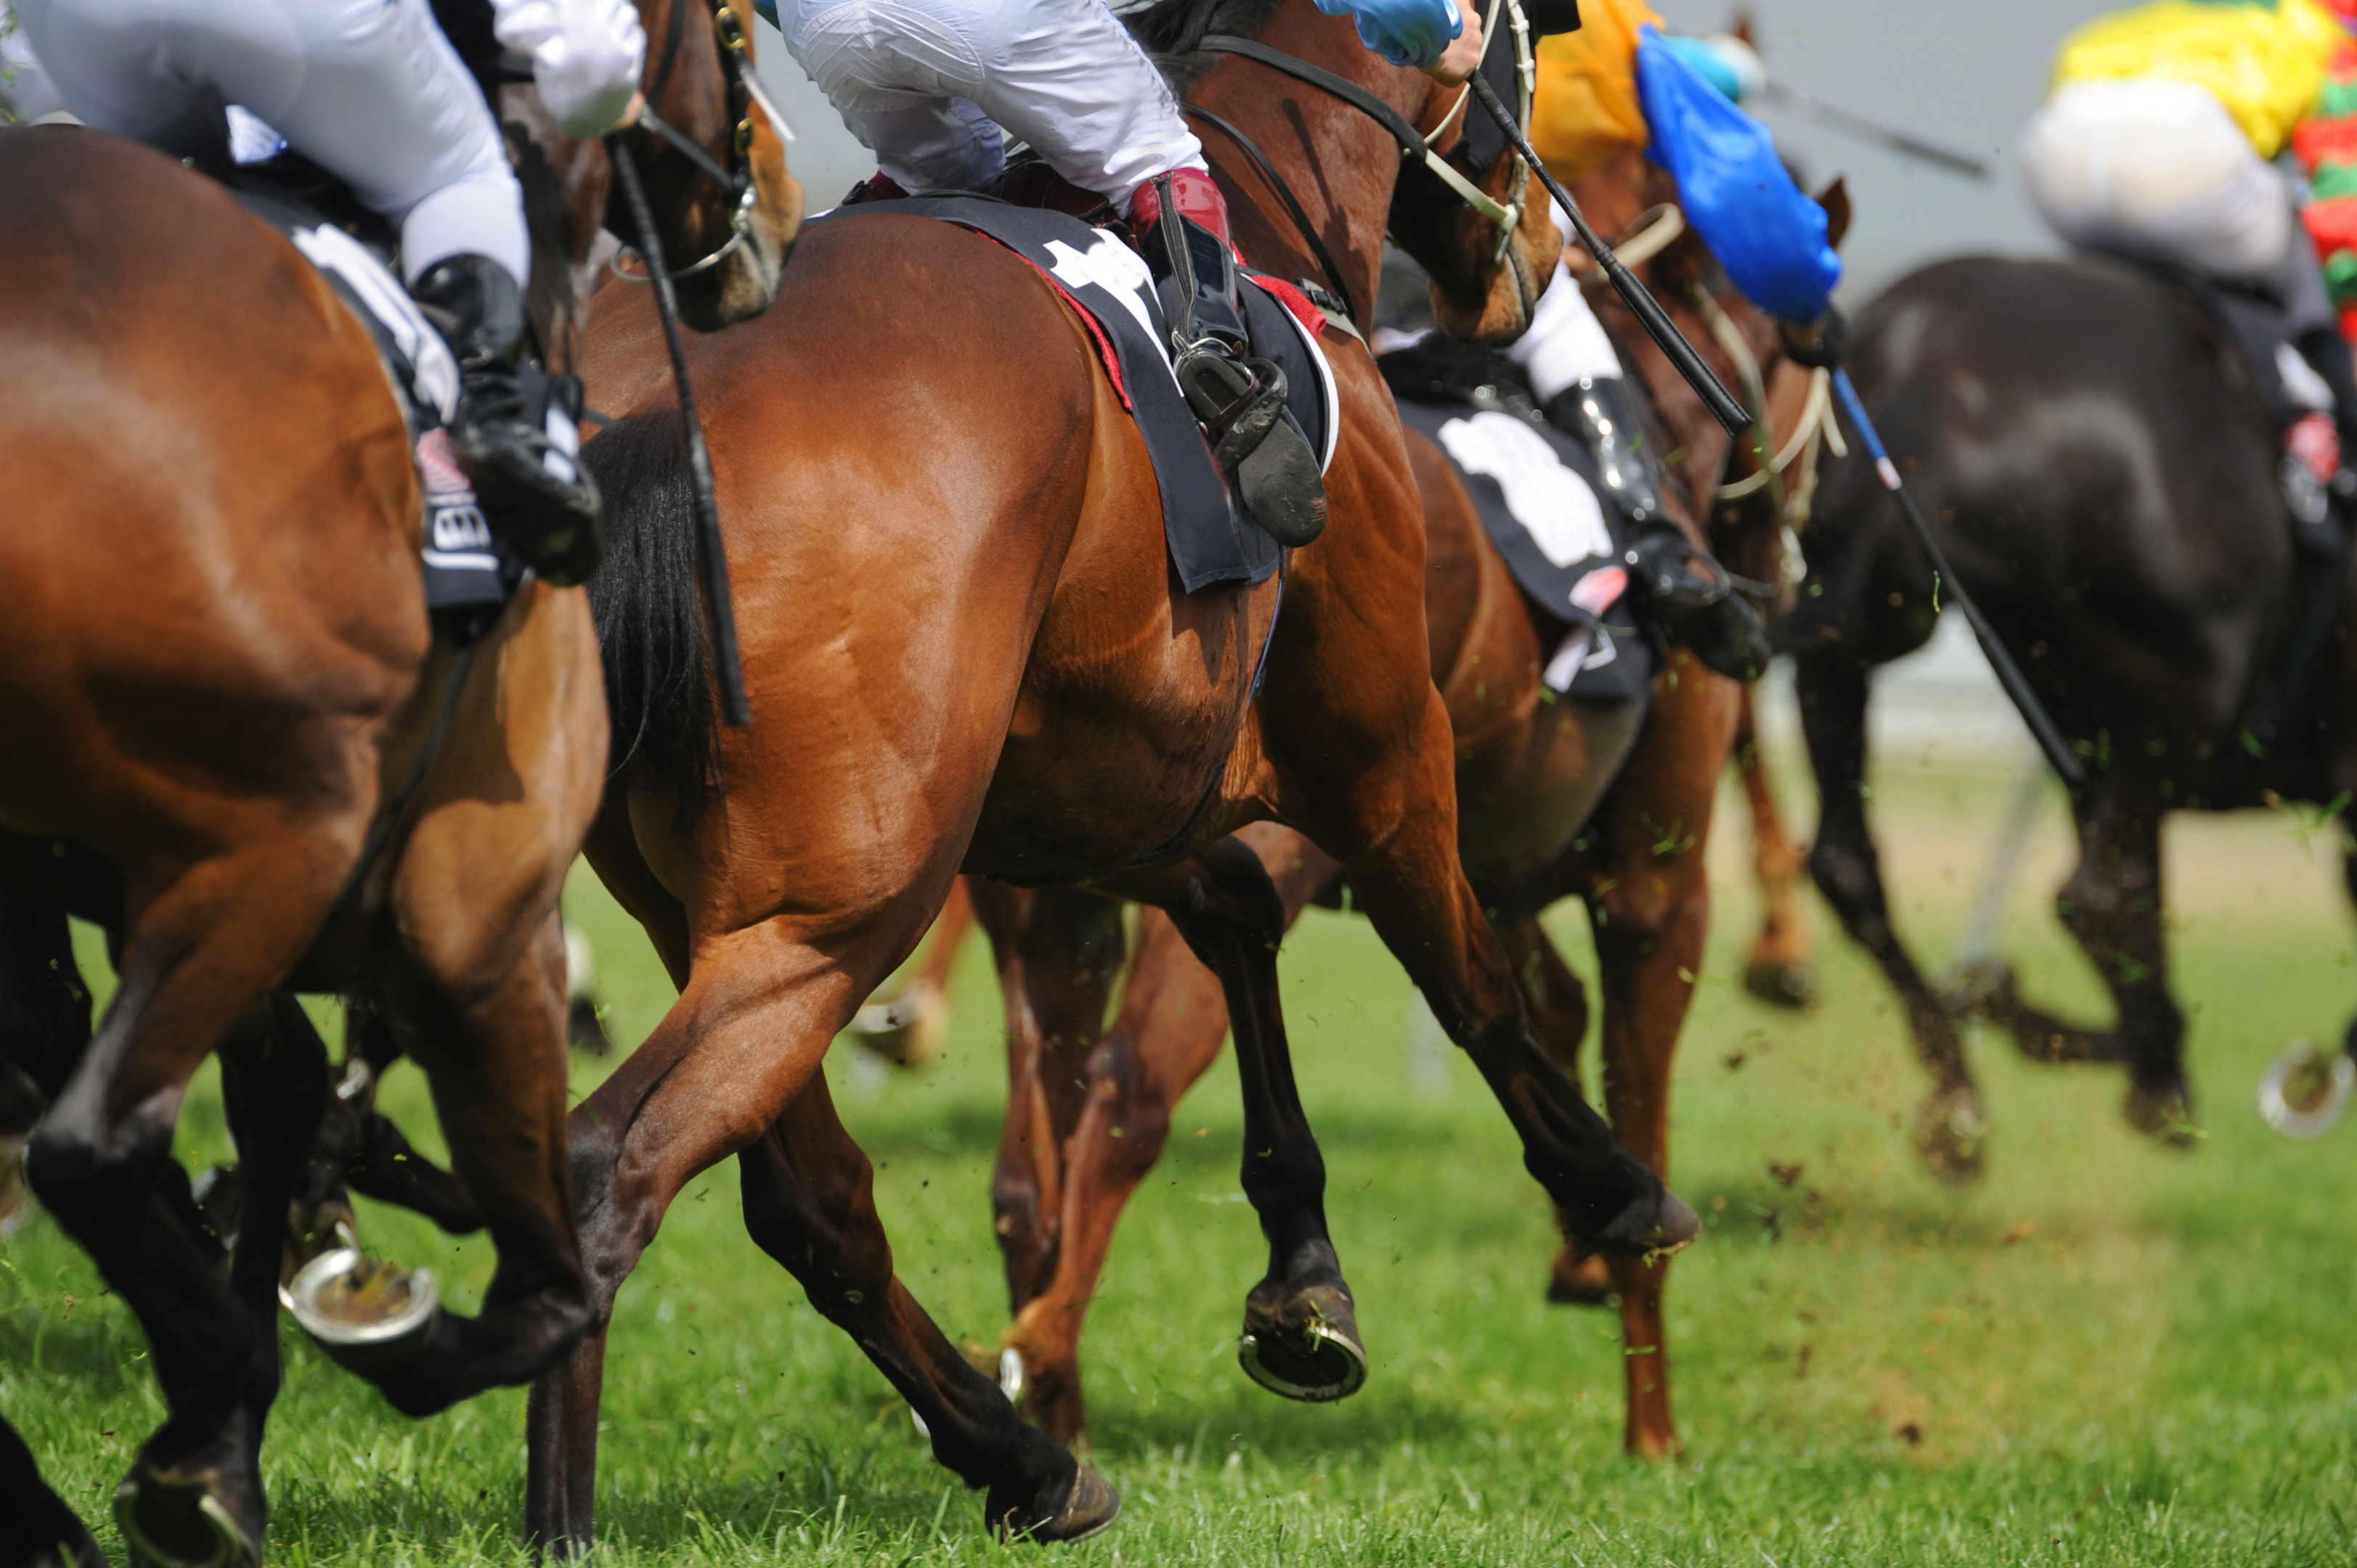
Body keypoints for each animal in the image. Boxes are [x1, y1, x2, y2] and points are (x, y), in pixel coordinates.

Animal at [0, 6, 797, 1556]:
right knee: (90, 1142)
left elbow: (279, 1095)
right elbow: (547, 1283)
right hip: (283, 839)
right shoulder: (478, 923)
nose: (774, 214)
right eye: (732, 34)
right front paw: (318, 1369)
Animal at [540, 0, 1697, 1537]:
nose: (1542, 260)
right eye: (1529, 61)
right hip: (839, 905)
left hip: (703, 898)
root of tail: (650, 420)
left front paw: (1303, 1285)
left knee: (810, 1201)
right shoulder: (1382, 743)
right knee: (614, 1164)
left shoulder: (1099, 793)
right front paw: (1613, 1187)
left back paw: (1024, 1459)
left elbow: (1237, 921)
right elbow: (1468, 978)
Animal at [975, 147, 1838, 1452]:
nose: (1785, 564)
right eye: (1816, 345)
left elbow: (1540, 1015)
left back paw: (1053, 1394)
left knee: (1035, 1154)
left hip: (1052, 884)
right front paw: (1651, 1420)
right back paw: (1073, 1348)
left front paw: (1583, 1251)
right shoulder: (1653, 883)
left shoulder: (1476, 864)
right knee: (1129, 1090)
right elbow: (1630, 1091)